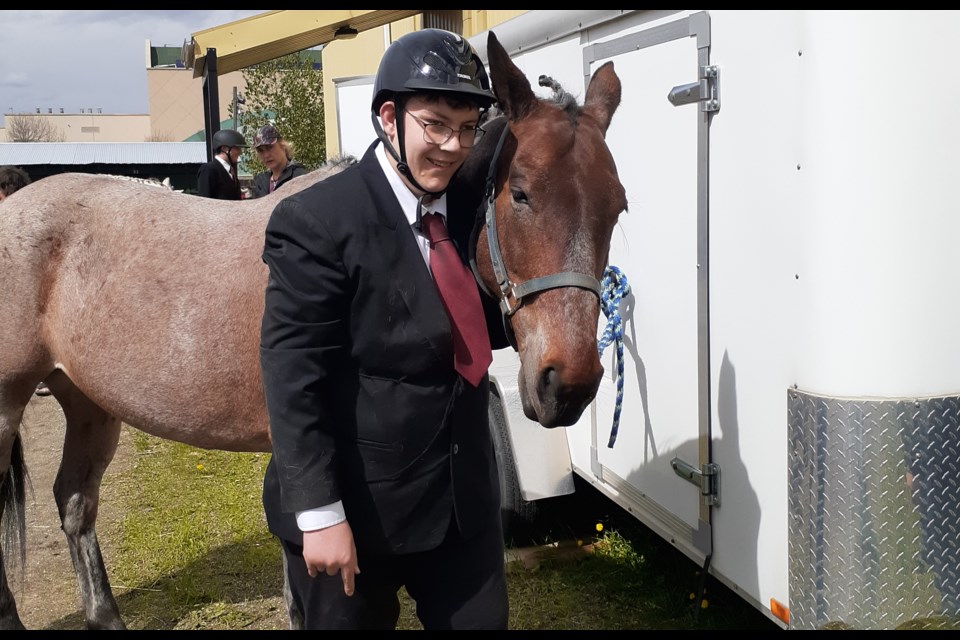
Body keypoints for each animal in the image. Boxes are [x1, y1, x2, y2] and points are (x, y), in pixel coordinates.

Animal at [0, 31, 628, 632]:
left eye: (617, 206)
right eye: (519, 193)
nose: (568, 384)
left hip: (89, 401)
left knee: (74, 501)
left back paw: (105, 615)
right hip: (10, 402)